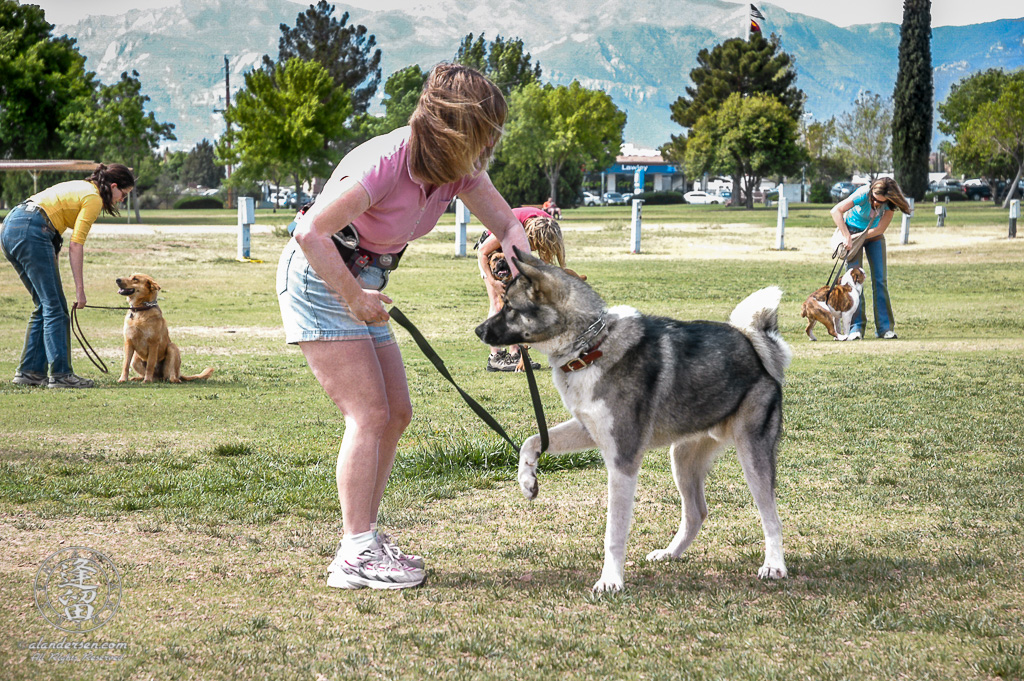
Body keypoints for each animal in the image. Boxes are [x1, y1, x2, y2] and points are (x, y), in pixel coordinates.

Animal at [475, 248, 794, 589]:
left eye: (510, 307)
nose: (478, 331)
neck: (590, 347)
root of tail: (757, 349)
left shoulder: (622, 460)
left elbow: (614, 531)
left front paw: (610, 580)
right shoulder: (589, 429)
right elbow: (531, 441)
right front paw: (527, 481)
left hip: (752, 455)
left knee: (771, 516)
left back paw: (774, 565)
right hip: (682, 459)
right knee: (696, 513)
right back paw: (670, 553)